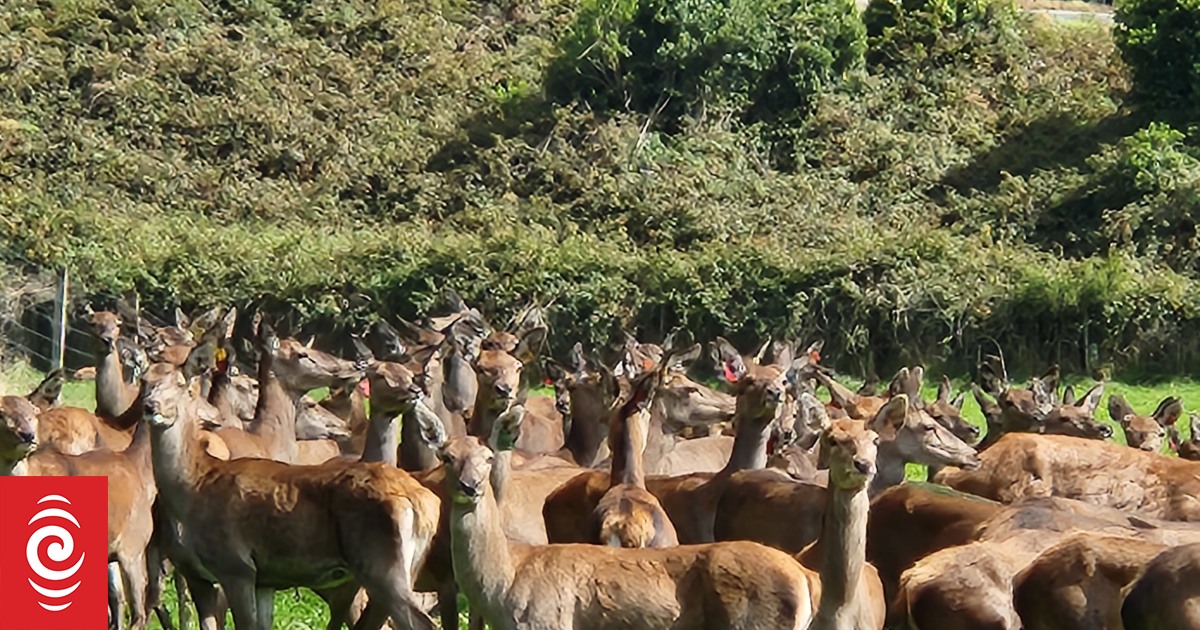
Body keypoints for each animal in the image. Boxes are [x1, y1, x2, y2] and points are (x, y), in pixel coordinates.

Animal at [142, 341, 443, 630]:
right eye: (145, 380)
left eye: (182, 384)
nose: (150, 406)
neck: (194, 487)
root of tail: (423, 502)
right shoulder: (233, 578)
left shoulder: (236, 566)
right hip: (406, 567)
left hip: (381, 564)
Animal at [437, 434, 818, 630]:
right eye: (446, 456)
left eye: (488, 457)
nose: (469, 486)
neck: (505, 584)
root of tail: (804, 576)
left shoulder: (548, 622)